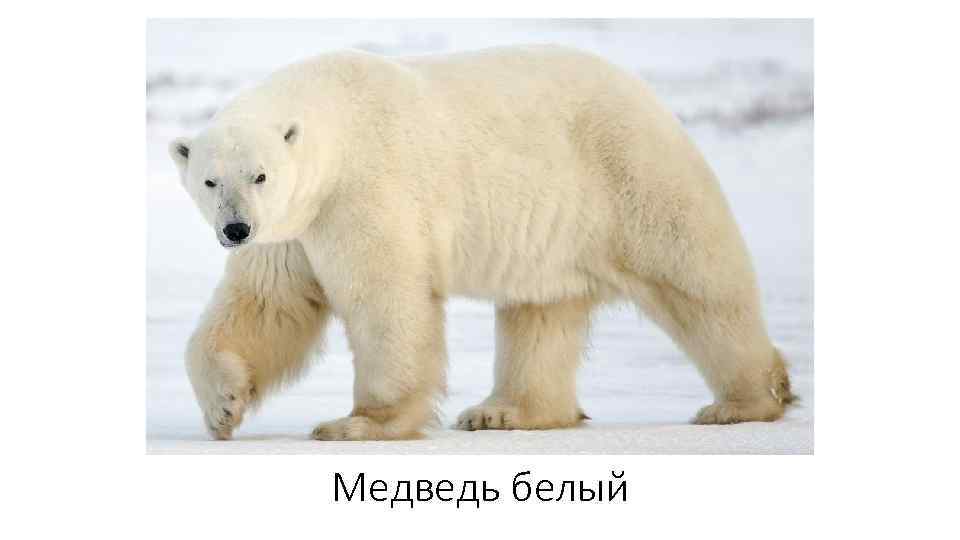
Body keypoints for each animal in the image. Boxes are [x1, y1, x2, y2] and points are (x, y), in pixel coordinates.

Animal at [169, 45, 795, 441]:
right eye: (210, 180)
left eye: (260, 175)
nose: (235, 229)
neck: (336, 124)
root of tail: (650, 98)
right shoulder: (295, 227)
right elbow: (267, 304)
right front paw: (222, 407)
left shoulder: (363, 191)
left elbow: (385, 300)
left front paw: (360, 423)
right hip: (557, 231)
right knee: (540, 312)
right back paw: (505, 412)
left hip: (630, 175)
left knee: (698, 282)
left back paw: (744, 401)